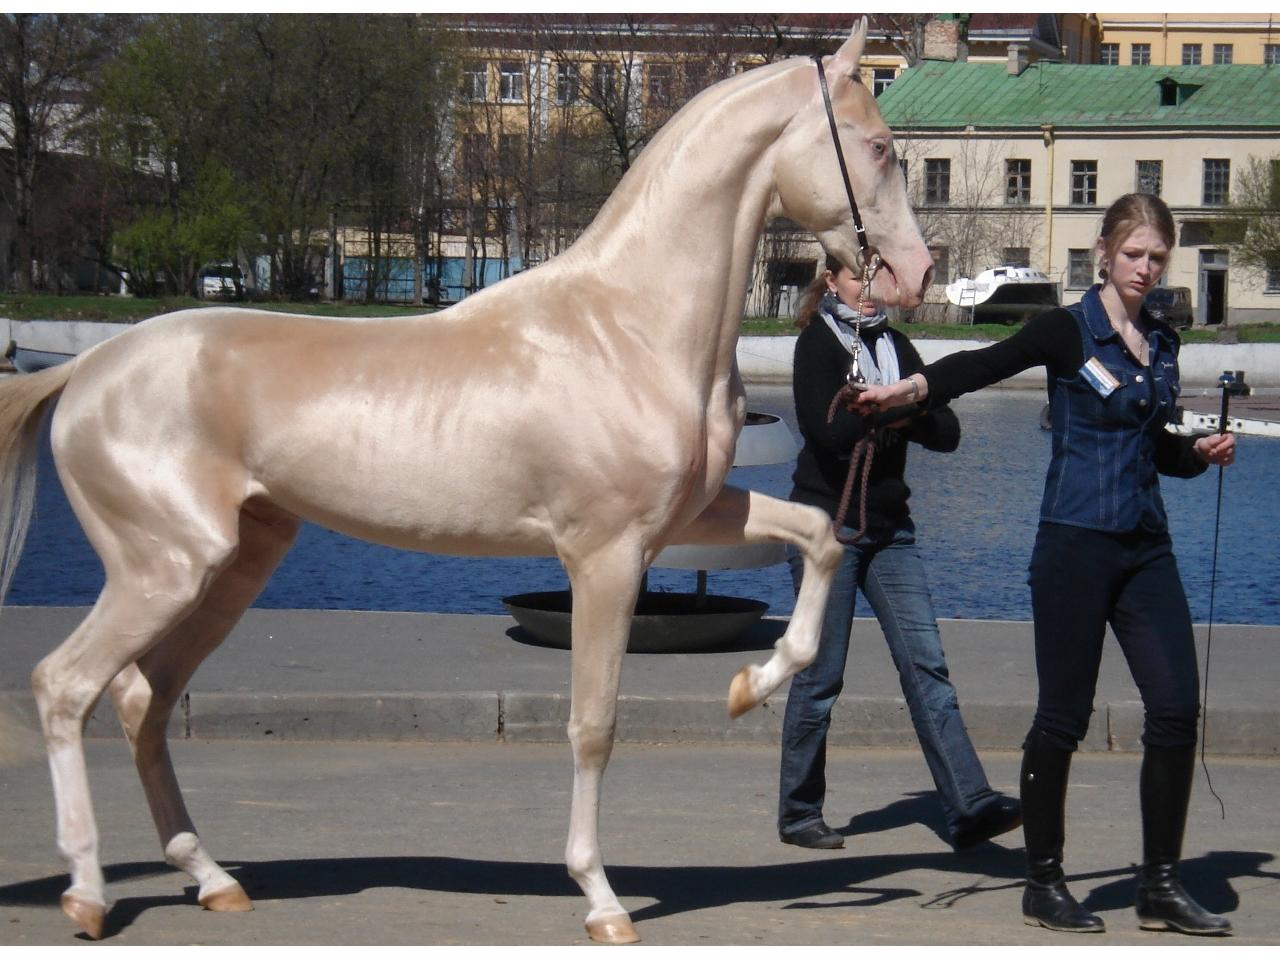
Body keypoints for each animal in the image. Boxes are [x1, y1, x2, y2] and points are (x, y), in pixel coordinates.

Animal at [0, 20, 931, 947]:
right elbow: (593, 725)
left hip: (231, 569)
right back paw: (87, 893)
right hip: (165, 569)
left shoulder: (692, 519)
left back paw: (212, 879)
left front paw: (750, 686)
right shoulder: (606, 556)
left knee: (143, 700)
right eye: (880, 146)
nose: (913, 275)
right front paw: (601, 900)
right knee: (66, 687)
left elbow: (820, 540)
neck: (630, 325)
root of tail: (85, 369)